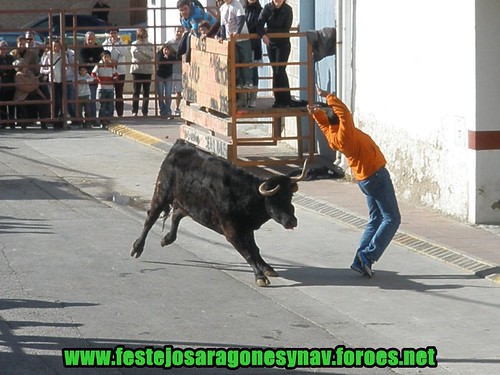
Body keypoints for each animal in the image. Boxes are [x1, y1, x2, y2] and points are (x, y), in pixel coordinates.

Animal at [131, 140, 306, 286]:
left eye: (290, 197)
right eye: (274, 200)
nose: (292, 221)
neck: (245, 196)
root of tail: (179, 145)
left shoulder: (247, 229)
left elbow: (254, 249)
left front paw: (267, 268)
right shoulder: (232, 232)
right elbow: (247, 252)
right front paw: (259, 276)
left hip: (186, 202)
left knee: (177, 215)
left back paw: (166, 239)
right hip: (162, 192)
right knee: (151, 218)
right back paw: (137, 247)